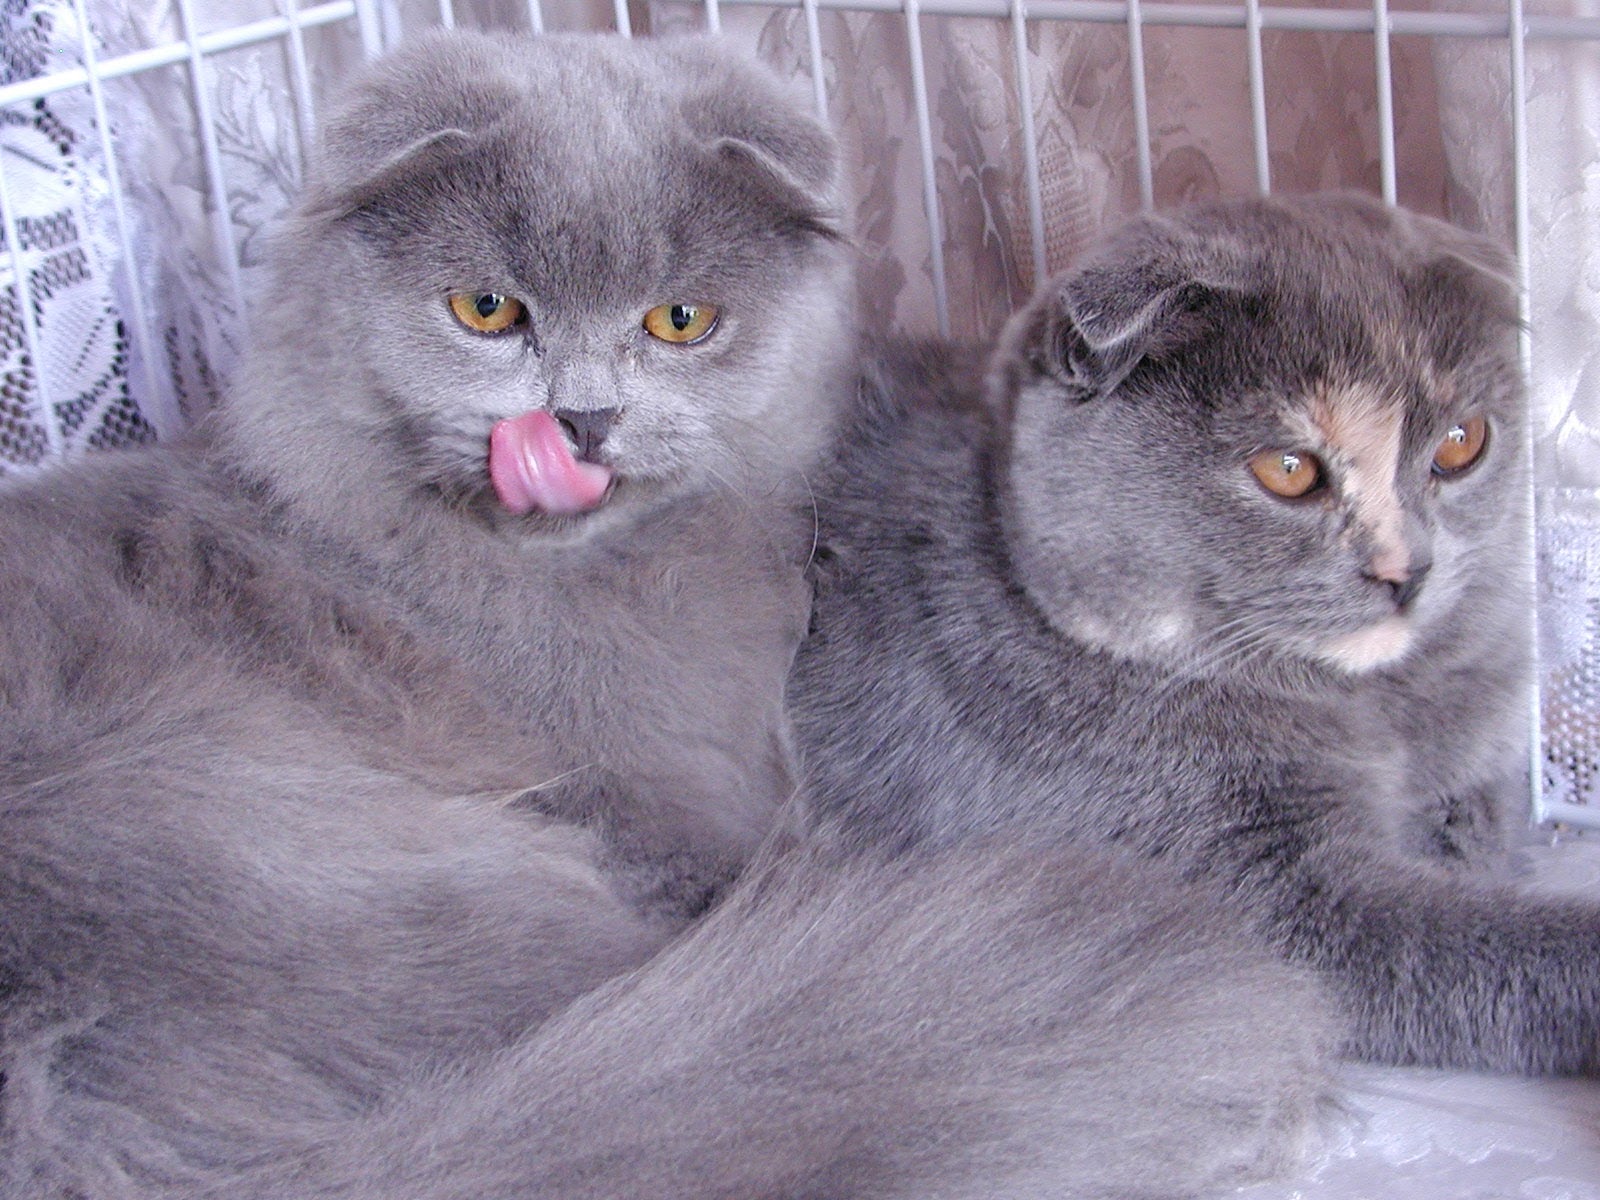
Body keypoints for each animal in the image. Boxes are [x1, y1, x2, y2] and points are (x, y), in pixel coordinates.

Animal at [790, 191, 1597, 1077]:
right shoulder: (1253, 900)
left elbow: (1484, 818)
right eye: (1288, 471)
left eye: (1461, 443)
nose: (1406, 569)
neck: (1368, 707)